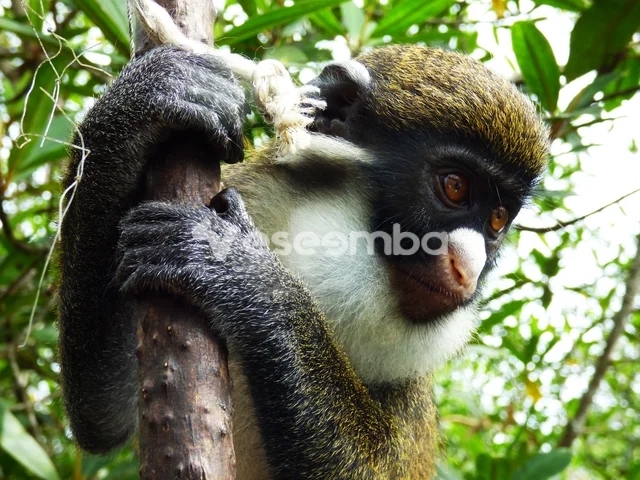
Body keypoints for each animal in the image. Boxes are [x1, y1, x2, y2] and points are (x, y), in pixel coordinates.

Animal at [57, 44, 548, 479]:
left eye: (497, 220)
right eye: (455, 187)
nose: (468, 269)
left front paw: (244, 273)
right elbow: (104, 418)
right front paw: (142, 102)